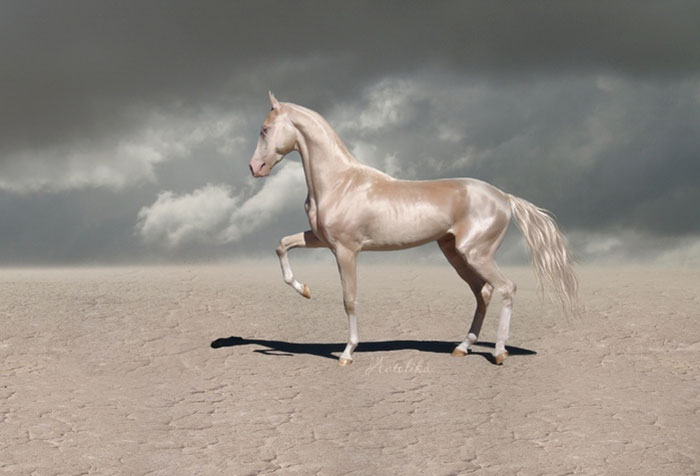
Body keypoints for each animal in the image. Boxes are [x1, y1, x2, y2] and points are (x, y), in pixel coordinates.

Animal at [248, 92, 579, 366]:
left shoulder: (346, 251)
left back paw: (498, 353)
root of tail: (504, 197)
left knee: (506, 288)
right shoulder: (320, 239)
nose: (255, 168)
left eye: (264, 130)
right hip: (455, 254)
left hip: (476, 254)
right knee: (483, 293)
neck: (340, 182)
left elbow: (349, 300)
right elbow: (282, 244)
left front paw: (346, 353)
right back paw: (462, 348)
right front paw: (304, 290)